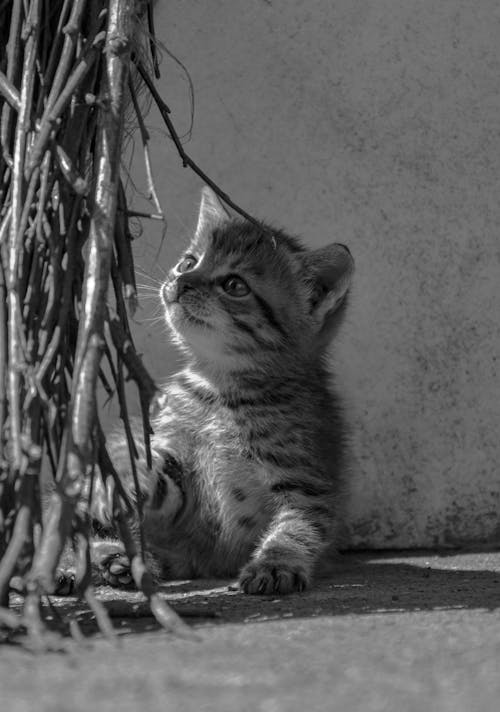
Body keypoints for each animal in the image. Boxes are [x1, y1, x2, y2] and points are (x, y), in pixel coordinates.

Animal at [91, 186, 356, 592]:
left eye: (234, 285)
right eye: (189, 263)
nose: (181, 282)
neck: (220, 393)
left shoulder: (307, 483)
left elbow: (298, 529)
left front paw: (275, 562)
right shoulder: (178, 465)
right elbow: (155, 473)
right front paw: (128, 475)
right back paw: (110, 558)